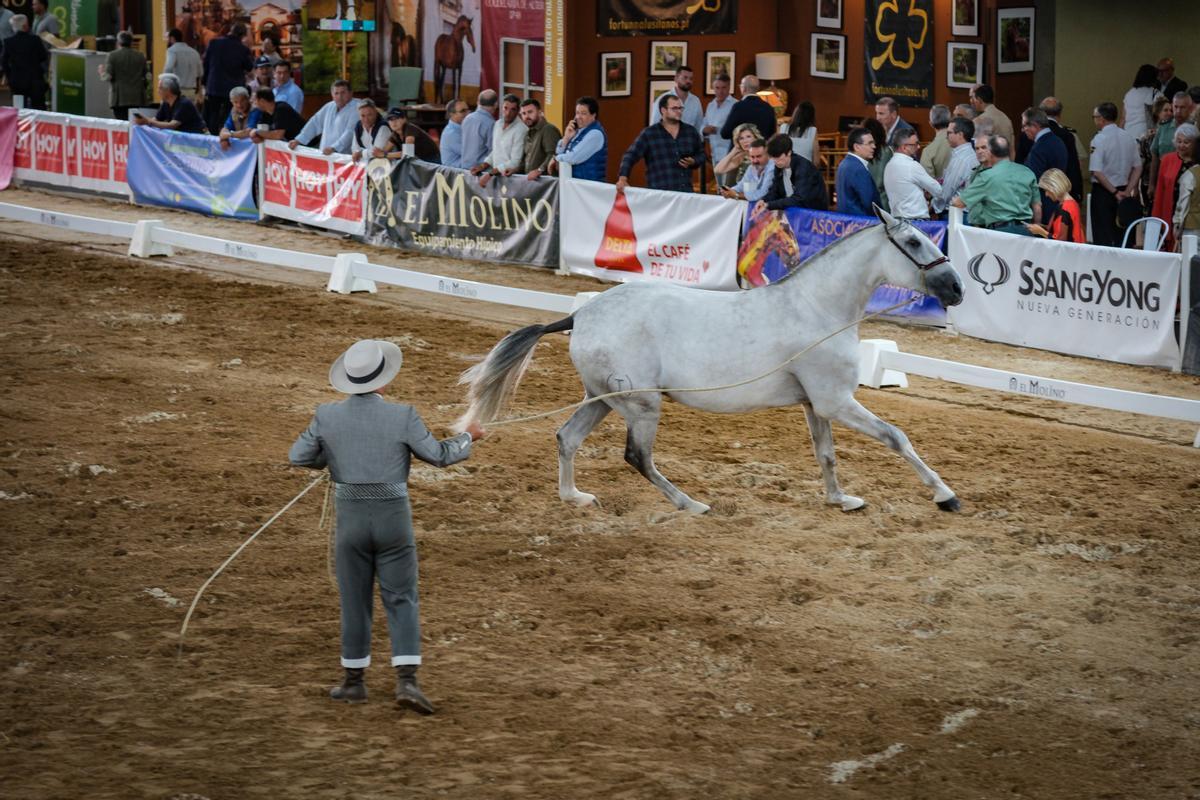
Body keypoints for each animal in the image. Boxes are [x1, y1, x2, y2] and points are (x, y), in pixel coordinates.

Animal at [456, 209, 964, 515]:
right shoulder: (836, 401)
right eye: (913, 242)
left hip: (603, 398)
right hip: (641, 405)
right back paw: (691, 504)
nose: (956, 288)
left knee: (567, 438)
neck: (817, 308)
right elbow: (897, 438)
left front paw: (841, 500)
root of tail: (581, 314)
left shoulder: (815, 405)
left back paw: (575, 497)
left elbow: (827, 454)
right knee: (636, 456)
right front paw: (946, 495)